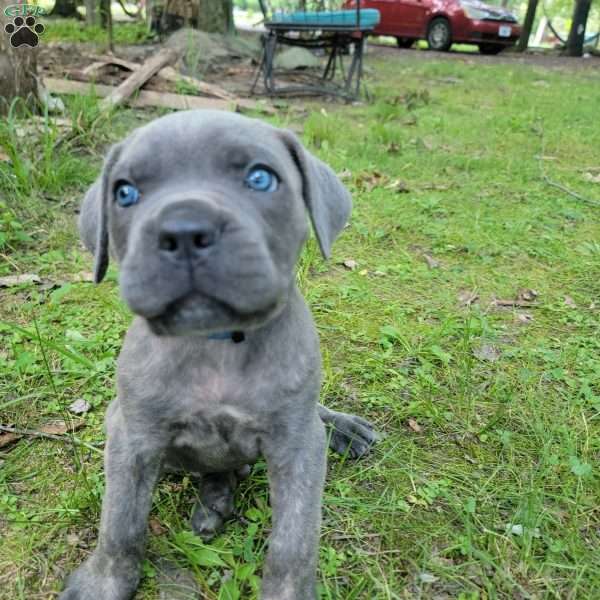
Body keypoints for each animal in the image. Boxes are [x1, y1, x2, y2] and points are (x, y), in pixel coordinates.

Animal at [62, 110, 380, 596]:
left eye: (261, 178)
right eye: (124, 192)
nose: (184, 230)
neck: (215, 344)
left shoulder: (298, 449)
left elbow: (293, 544)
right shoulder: (131, 436)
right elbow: (119, 524)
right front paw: (103, 583)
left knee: (312, 417)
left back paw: (343, 428)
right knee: (213, 470)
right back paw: (214, 502)